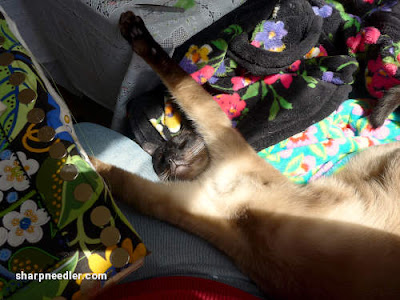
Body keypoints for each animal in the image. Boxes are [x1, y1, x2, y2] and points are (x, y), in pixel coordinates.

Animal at [91, 11, 400, 300]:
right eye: (160, 162)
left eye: (178, 144)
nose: (170, 161)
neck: (210, 175)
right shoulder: (179, 202)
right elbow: (122, 182)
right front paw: (82, 165)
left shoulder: (219, 137)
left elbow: (177, 79)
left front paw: (134, 30)